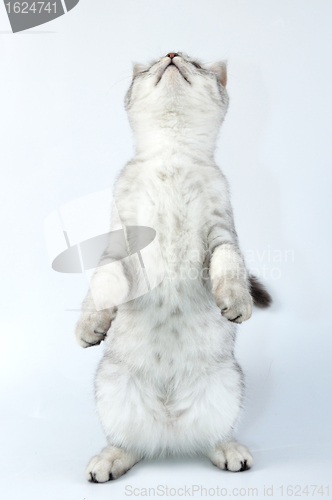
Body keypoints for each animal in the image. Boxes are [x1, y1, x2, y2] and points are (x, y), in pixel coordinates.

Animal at [76, 50, 272, 480]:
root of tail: (169, 435)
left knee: (213, 435)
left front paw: (237, 301)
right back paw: (110, 460)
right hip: (112, 386)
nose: (171, 53)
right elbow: (102, 284)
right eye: (152, 62)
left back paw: (230, 451)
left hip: (226, 384)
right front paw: (89, 325)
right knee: (130, 442)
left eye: (195, 62)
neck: (172, 160)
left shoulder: (221, 231)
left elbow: (230, 264)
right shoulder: (119, 240)